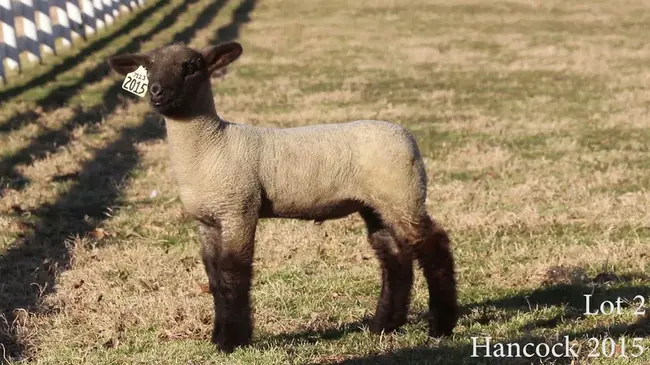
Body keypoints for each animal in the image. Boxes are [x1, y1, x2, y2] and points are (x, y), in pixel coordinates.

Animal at [106, 41, 458, 352]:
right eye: (148, 67)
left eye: (191, 67)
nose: (156, 93)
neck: (212, 146)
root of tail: (406, 136)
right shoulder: (208, 221)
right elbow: (215, 276)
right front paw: (218, 338)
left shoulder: (239, 210)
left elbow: (234, 273)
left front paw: (232, 342)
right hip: (376, 203)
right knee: (394, 253)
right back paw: (384, 325)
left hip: (402, 194)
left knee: (434, 244)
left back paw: (441, 326)